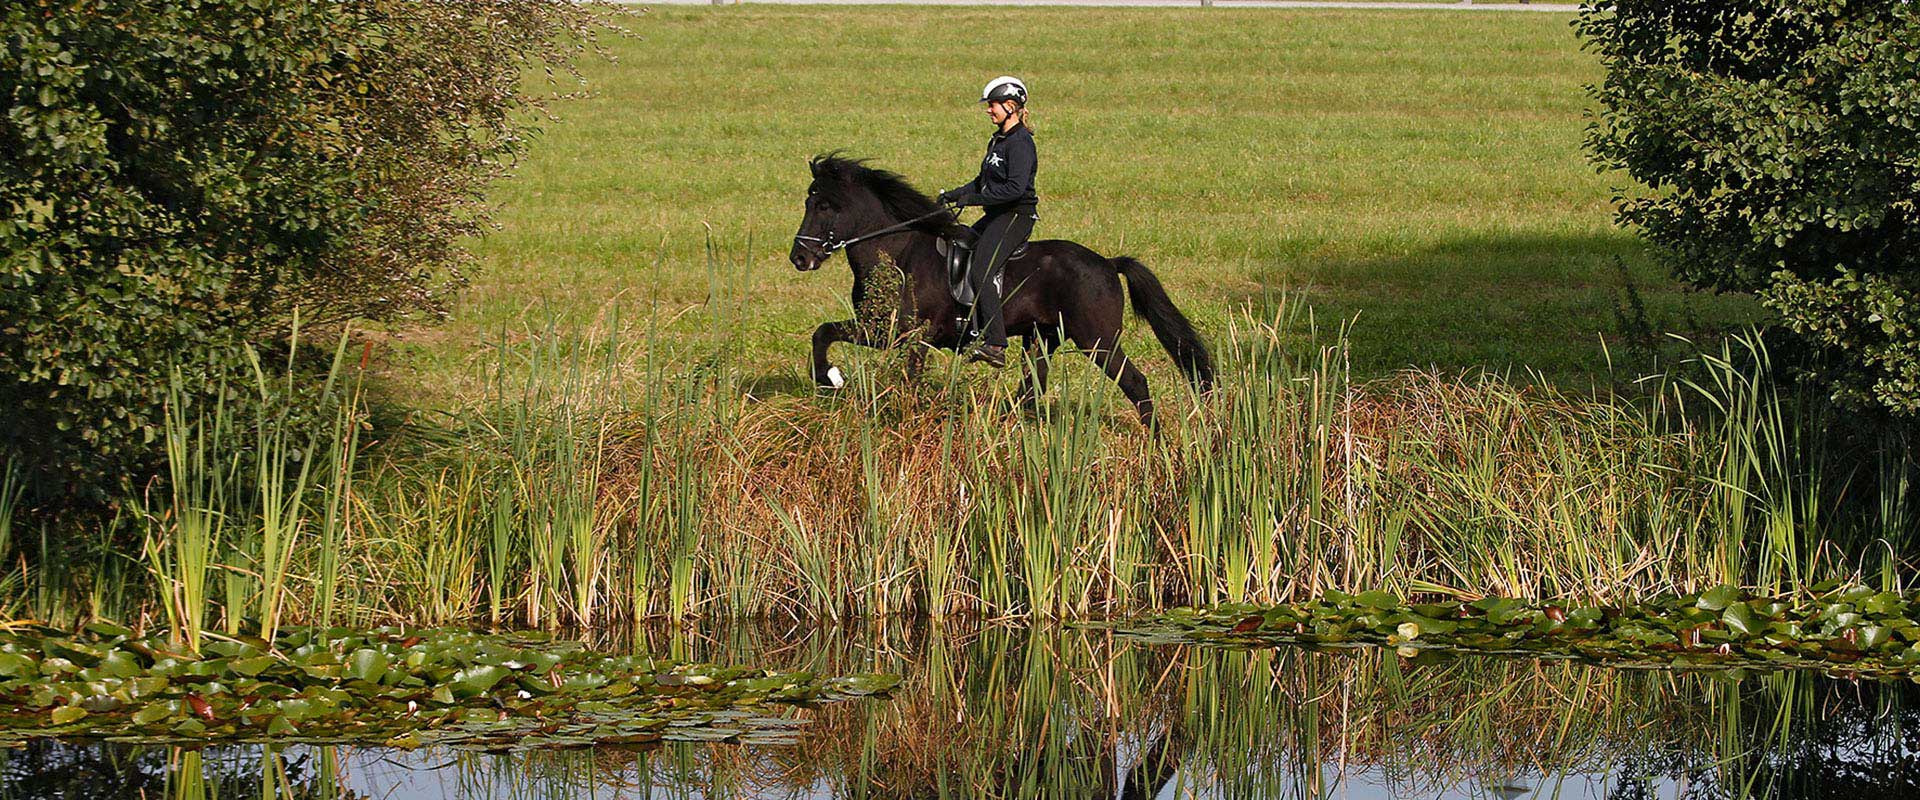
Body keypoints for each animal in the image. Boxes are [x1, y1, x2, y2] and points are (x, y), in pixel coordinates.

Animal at [783, 151, 1213, 420]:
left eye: (824, 206)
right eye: (808, 203)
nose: (799, 258)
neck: (898, 253)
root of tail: (1107, 263)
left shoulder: (905, 334)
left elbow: (900, 374)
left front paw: (834, 380)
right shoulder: (881, 331)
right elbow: (823, 332)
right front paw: (828, 379)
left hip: (1098, 341)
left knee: (1135, 383)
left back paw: (1156, 442)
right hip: (1041, 338)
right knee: (1032, 389)